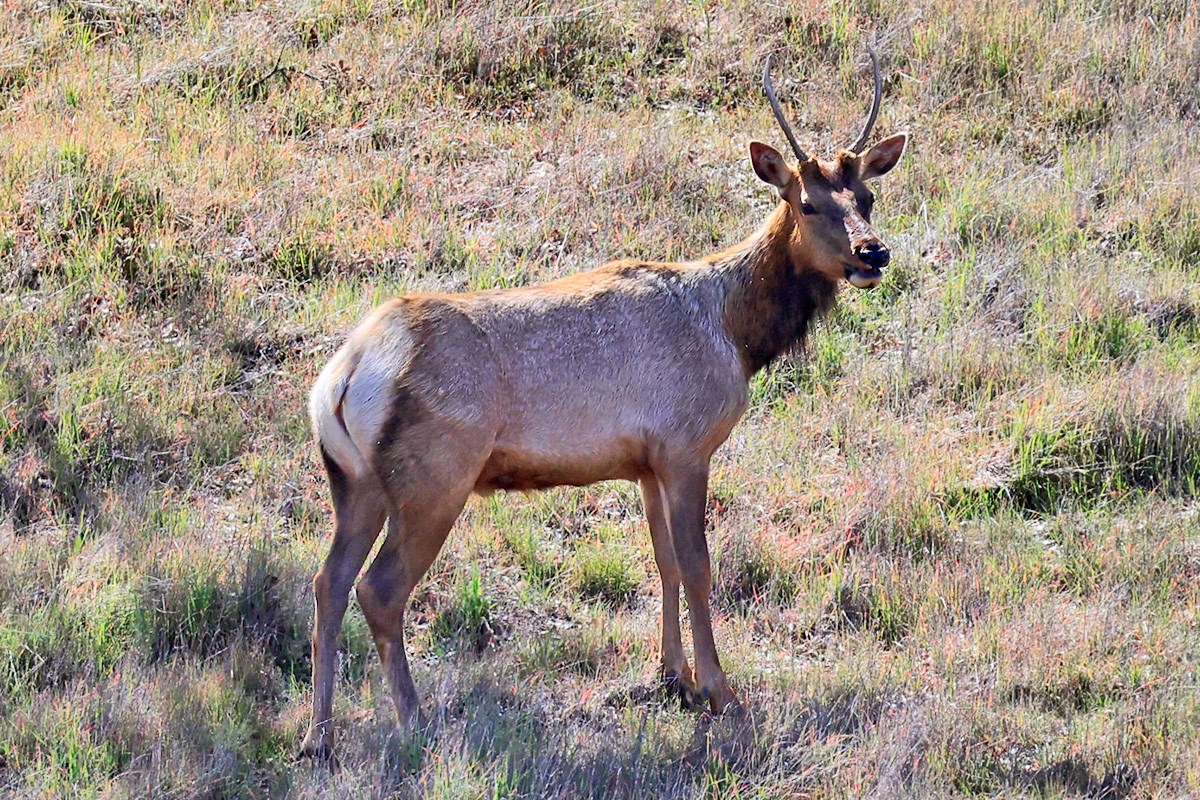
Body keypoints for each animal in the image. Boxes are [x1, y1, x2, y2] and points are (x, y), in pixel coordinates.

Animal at [300, 45, 907, 762]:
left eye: (867, 195)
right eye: (807, 204)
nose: (873, 252)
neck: (737, 334)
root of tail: (342, 376)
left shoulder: (644, 461)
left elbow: (663, 561)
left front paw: (673, 676)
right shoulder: (685, 444)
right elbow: (698, 567)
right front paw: (719, 692)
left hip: (355, 482)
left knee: (328, 581)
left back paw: (318, 735)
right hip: (433, 478)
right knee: (379, 589)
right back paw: (413, 720)